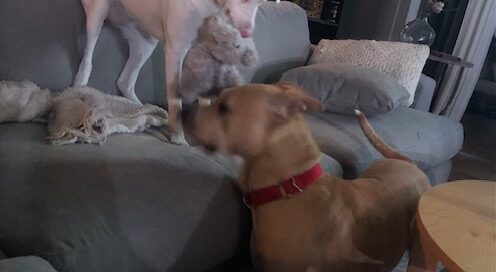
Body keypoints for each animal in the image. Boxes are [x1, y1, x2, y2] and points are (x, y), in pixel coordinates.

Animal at [74, 0, 278, 144]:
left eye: (261, 2)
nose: (247, 32)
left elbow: (205, 97)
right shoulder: (176, 52)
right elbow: (176, 100)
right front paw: (178, 138)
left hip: (145, 42)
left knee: (125, 81)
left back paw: (146, 111)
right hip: (97, 15)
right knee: (86, 63)